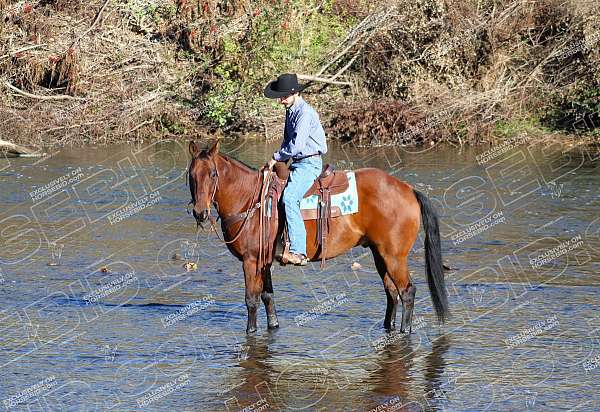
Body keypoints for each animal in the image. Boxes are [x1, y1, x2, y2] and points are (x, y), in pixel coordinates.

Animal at [190, 140, 448, 334]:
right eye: (192, 175)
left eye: (212, 174)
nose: (200, 213)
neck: (250, 199)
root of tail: (408, 189)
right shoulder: (264, 261)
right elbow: (267, 296)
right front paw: (273, 326)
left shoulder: (251, 261)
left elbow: (251, 300)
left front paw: (250, 332)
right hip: (380, 254)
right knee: (391, 292)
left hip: (394, 256)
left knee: (407, 292)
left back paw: (405, 331)